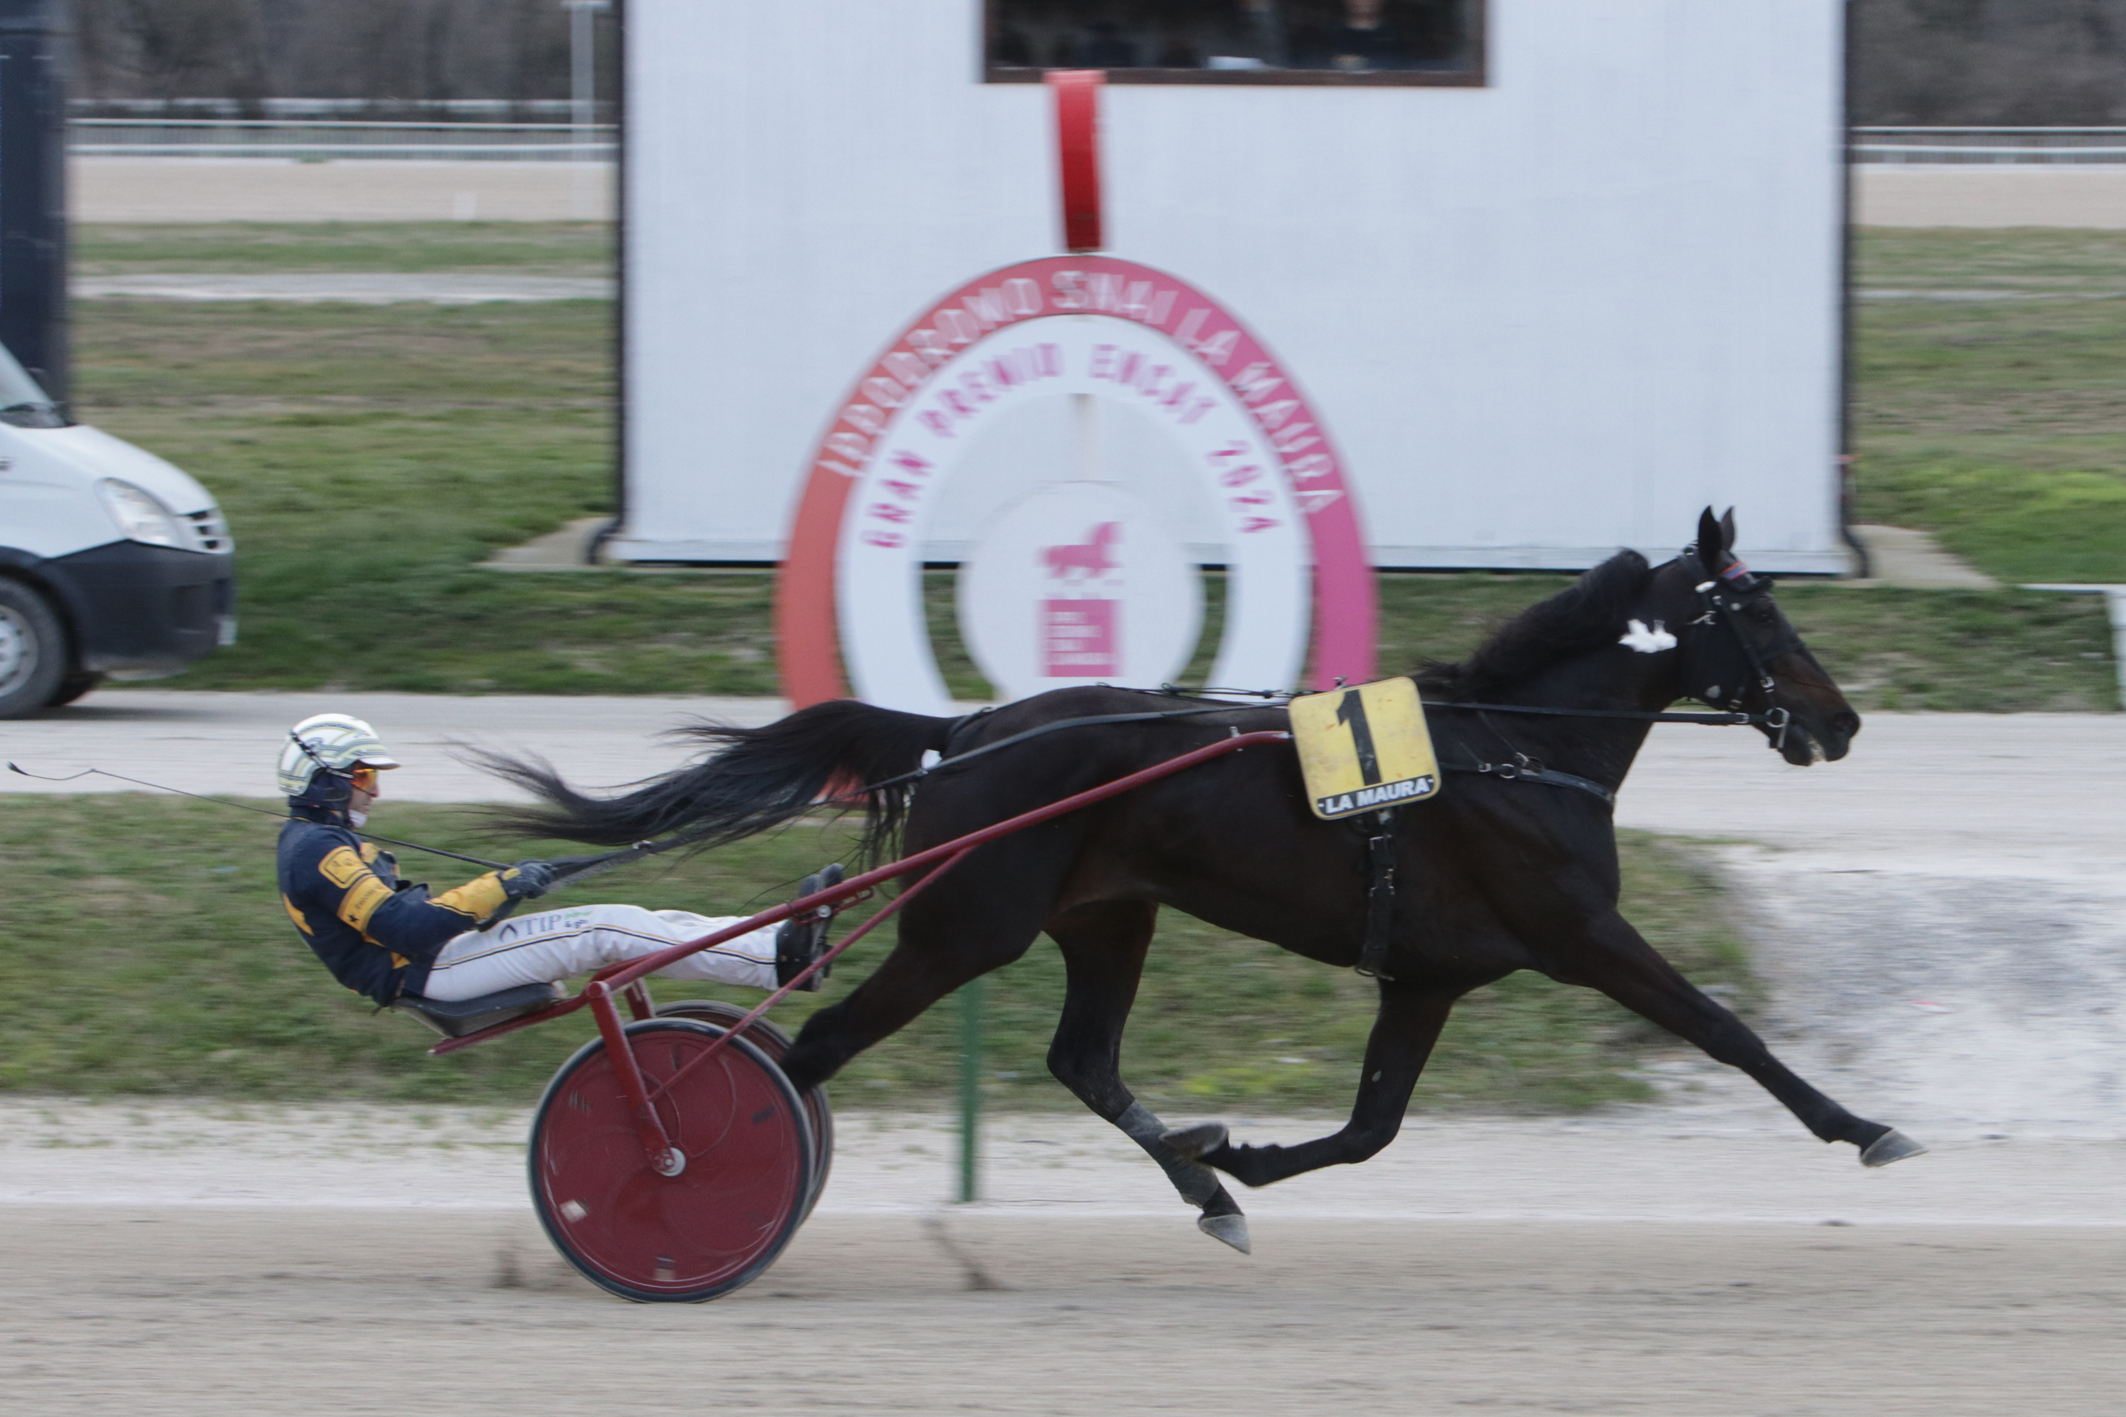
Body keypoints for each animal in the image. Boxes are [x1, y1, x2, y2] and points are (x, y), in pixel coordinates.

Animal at [497, 509, 1930, 1249]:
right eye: (1762, 613)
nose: (1840, 720)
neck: (1516, 749)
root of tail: (963, 729)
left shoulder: (1427, 976)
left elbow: (1368, 1128)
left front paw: (1236, 1153)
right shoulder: (1576, 928)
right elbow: (1725, 1031)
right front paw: (1863, 1126)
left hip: (1104, 915)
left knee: (1079, 1058)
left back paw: (1199, 1185)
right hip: (965, 925)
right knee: (805, 1052)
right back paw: (682, 1177)